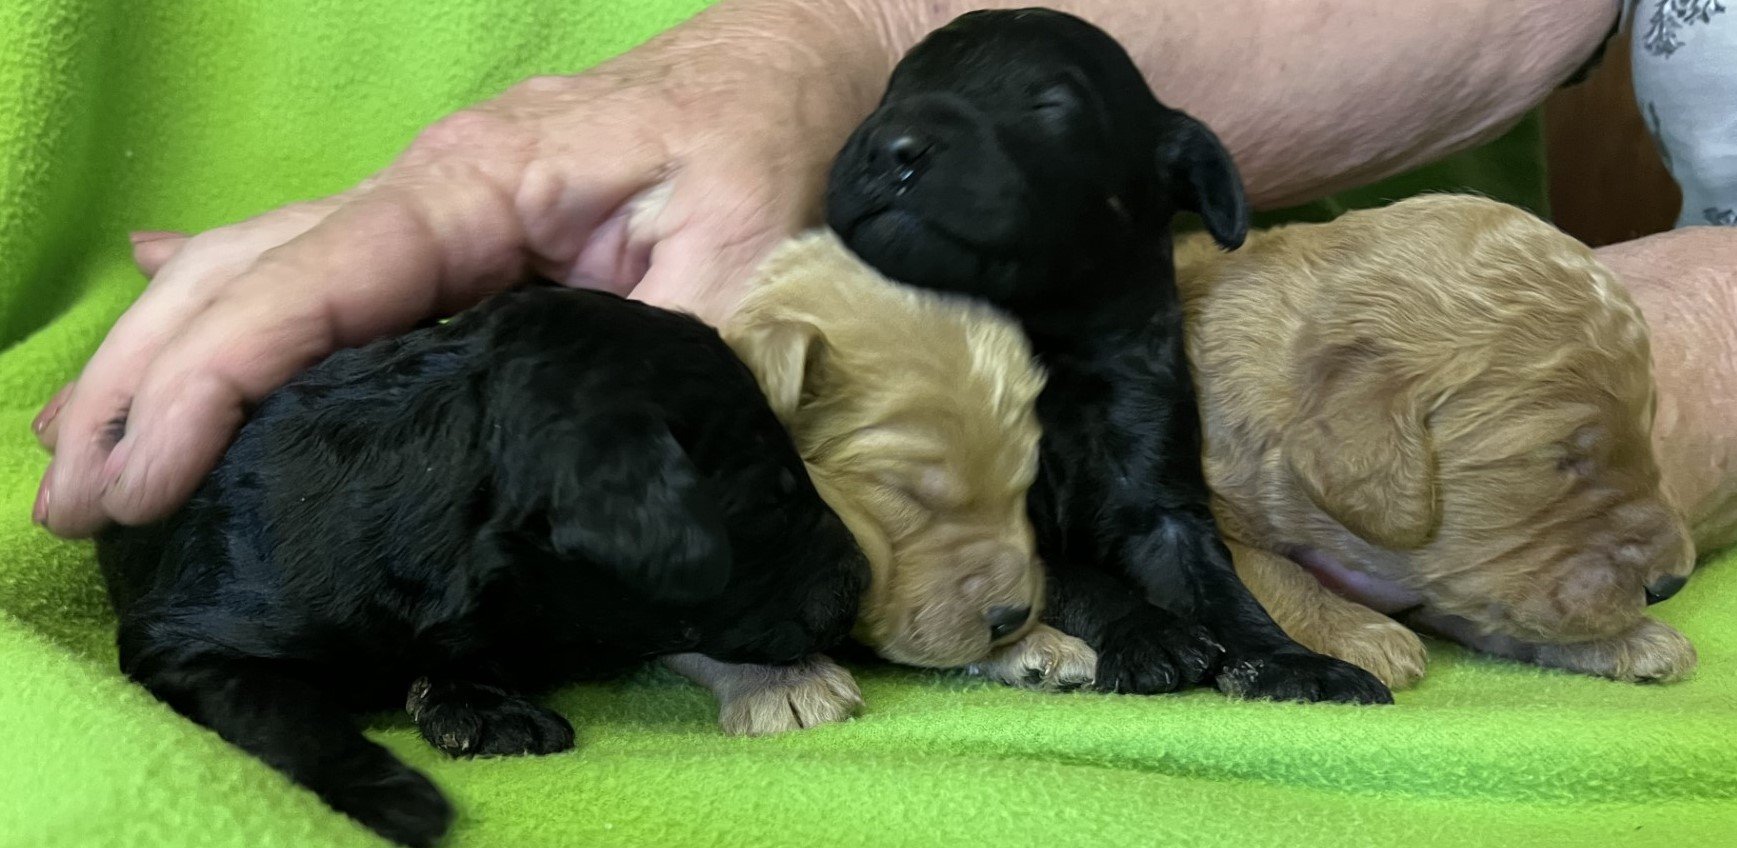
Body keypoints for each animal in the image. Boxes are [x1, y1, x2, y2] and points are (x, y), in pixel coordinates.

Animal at [95, 286, 868, 848]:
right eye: (774, 501)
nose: (863, 581)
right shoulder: (186, 636)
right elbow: (279, 710)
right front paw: (398, 796)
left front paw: (477, 705)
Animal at [823, 8, 1382, 702]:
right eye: (891, 92)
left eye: (1051, 103)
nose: (891, 143)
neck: (1048, 350)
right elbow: (1080, 578)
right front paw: (1151, 633)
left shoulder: (1160, 492)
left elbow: (1218, 585)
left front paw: (1291, 660)